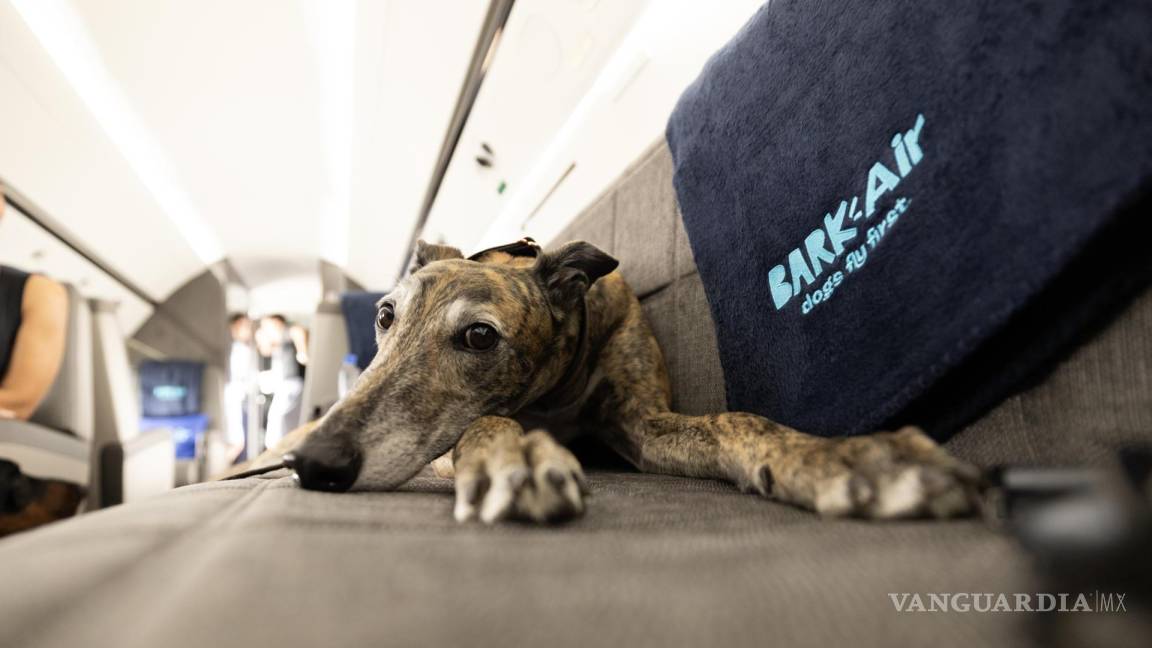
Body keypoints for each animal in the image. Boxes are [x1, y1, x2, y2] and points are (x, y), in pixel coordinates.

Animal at [278, 236, 981, 518]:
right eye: (385, 315)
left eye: (479, 335)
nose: (314, 462)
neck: (555, 391)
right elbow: (489, 420)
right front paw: (517, 459)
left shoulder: (642, 423)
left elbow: (735, 420)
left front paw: (846, 458)